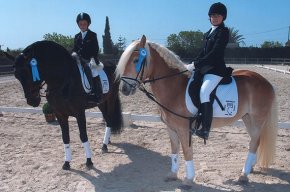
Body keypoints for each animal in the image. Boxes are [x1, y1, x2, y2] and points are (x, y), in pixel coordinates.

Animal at [11, 41, 122, 170]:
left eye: (28, 72)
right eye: (16, 75)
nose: (32, 101)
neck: (63, 80)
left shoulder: (79, 112)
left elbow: (83, 135)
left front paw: (89, 161)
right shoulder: (60, 114)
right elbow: (65, 137)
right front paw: (67, 163)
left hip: (111, 98)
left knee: (109, 119)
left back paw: (104, 145)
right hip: (101, 102)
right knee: (107, 118)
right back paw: (107, 141)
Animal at [116, 35, 278, 188]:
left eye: (136, 60)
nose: (124, 89)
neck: (174, 88)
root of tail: (265, 81)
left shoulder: (183, 129)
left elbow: (187, 152)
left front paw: (188, 180)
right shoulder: (171, 128)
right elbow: (174, 150)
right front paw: (173, 174)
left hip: (257, 119)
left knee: (254, 142)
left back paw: (244, 175)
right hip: (247, 118)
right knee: (255, 141)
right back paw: (250, 168)